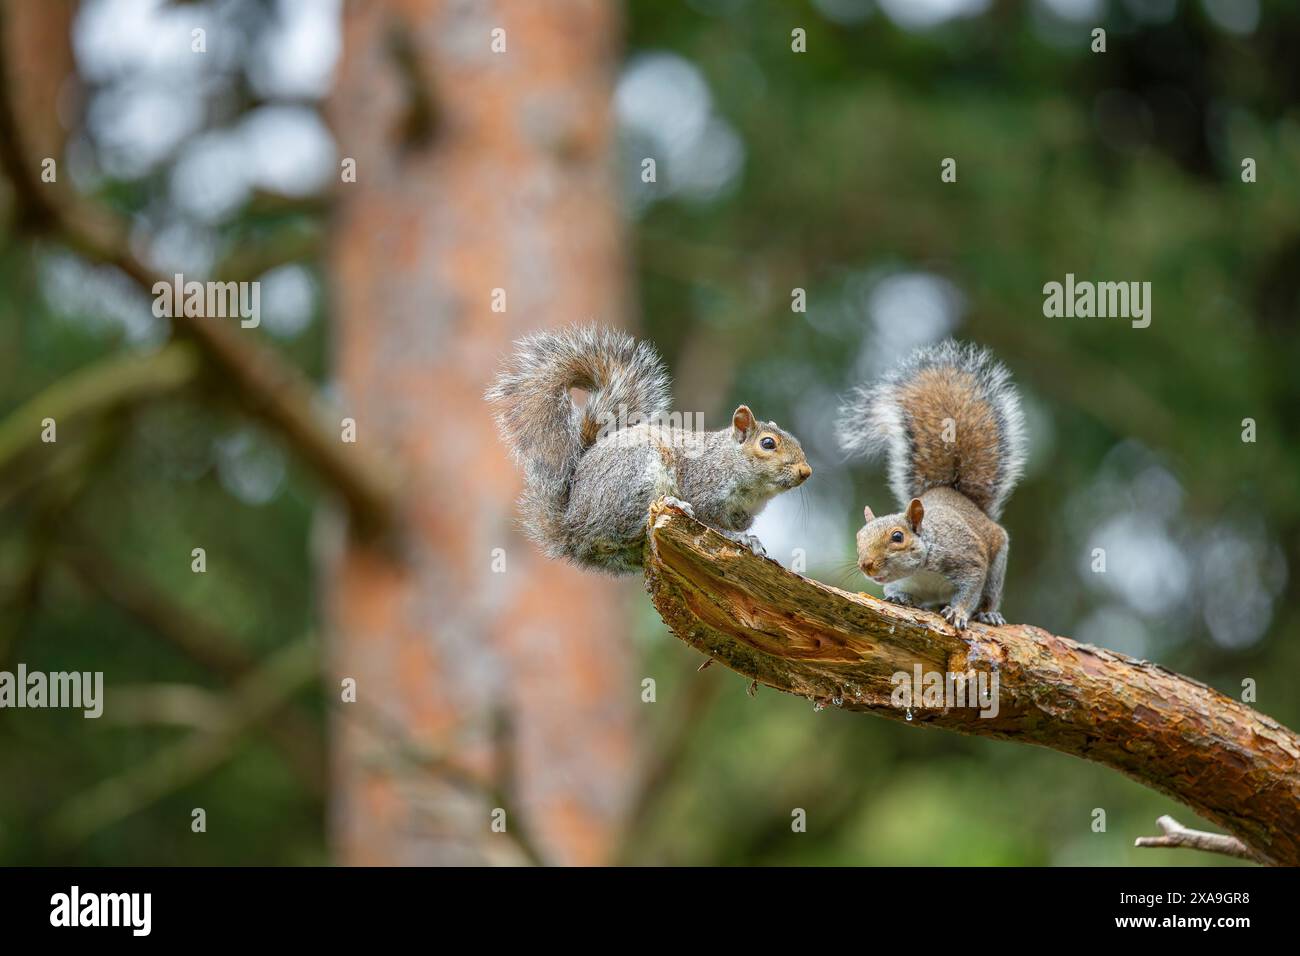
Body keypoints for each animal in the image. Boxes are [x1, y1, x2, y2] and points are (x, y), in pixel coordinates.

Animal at [488, 325, 811, 574]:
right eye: (767, 443)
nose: (806, 471)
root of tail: (572, 524)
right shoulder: (703, 487)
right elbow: (712, 523)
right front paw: (740, 538)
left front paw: (750, 538)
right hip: (634, 474)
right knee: (623, 524)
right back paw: (672, 504)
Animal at [837, 340, 1029, 632]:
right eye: (859, 537)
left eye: (898, 537)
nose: (866, 565)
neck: (922, 568)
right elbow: (894, 589)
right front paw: (900, 597)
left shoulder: (970, 560)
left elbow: (970, 590)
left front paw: (958, 613)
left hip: (997, 566)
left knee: (989, 595)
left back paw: (988, 614)